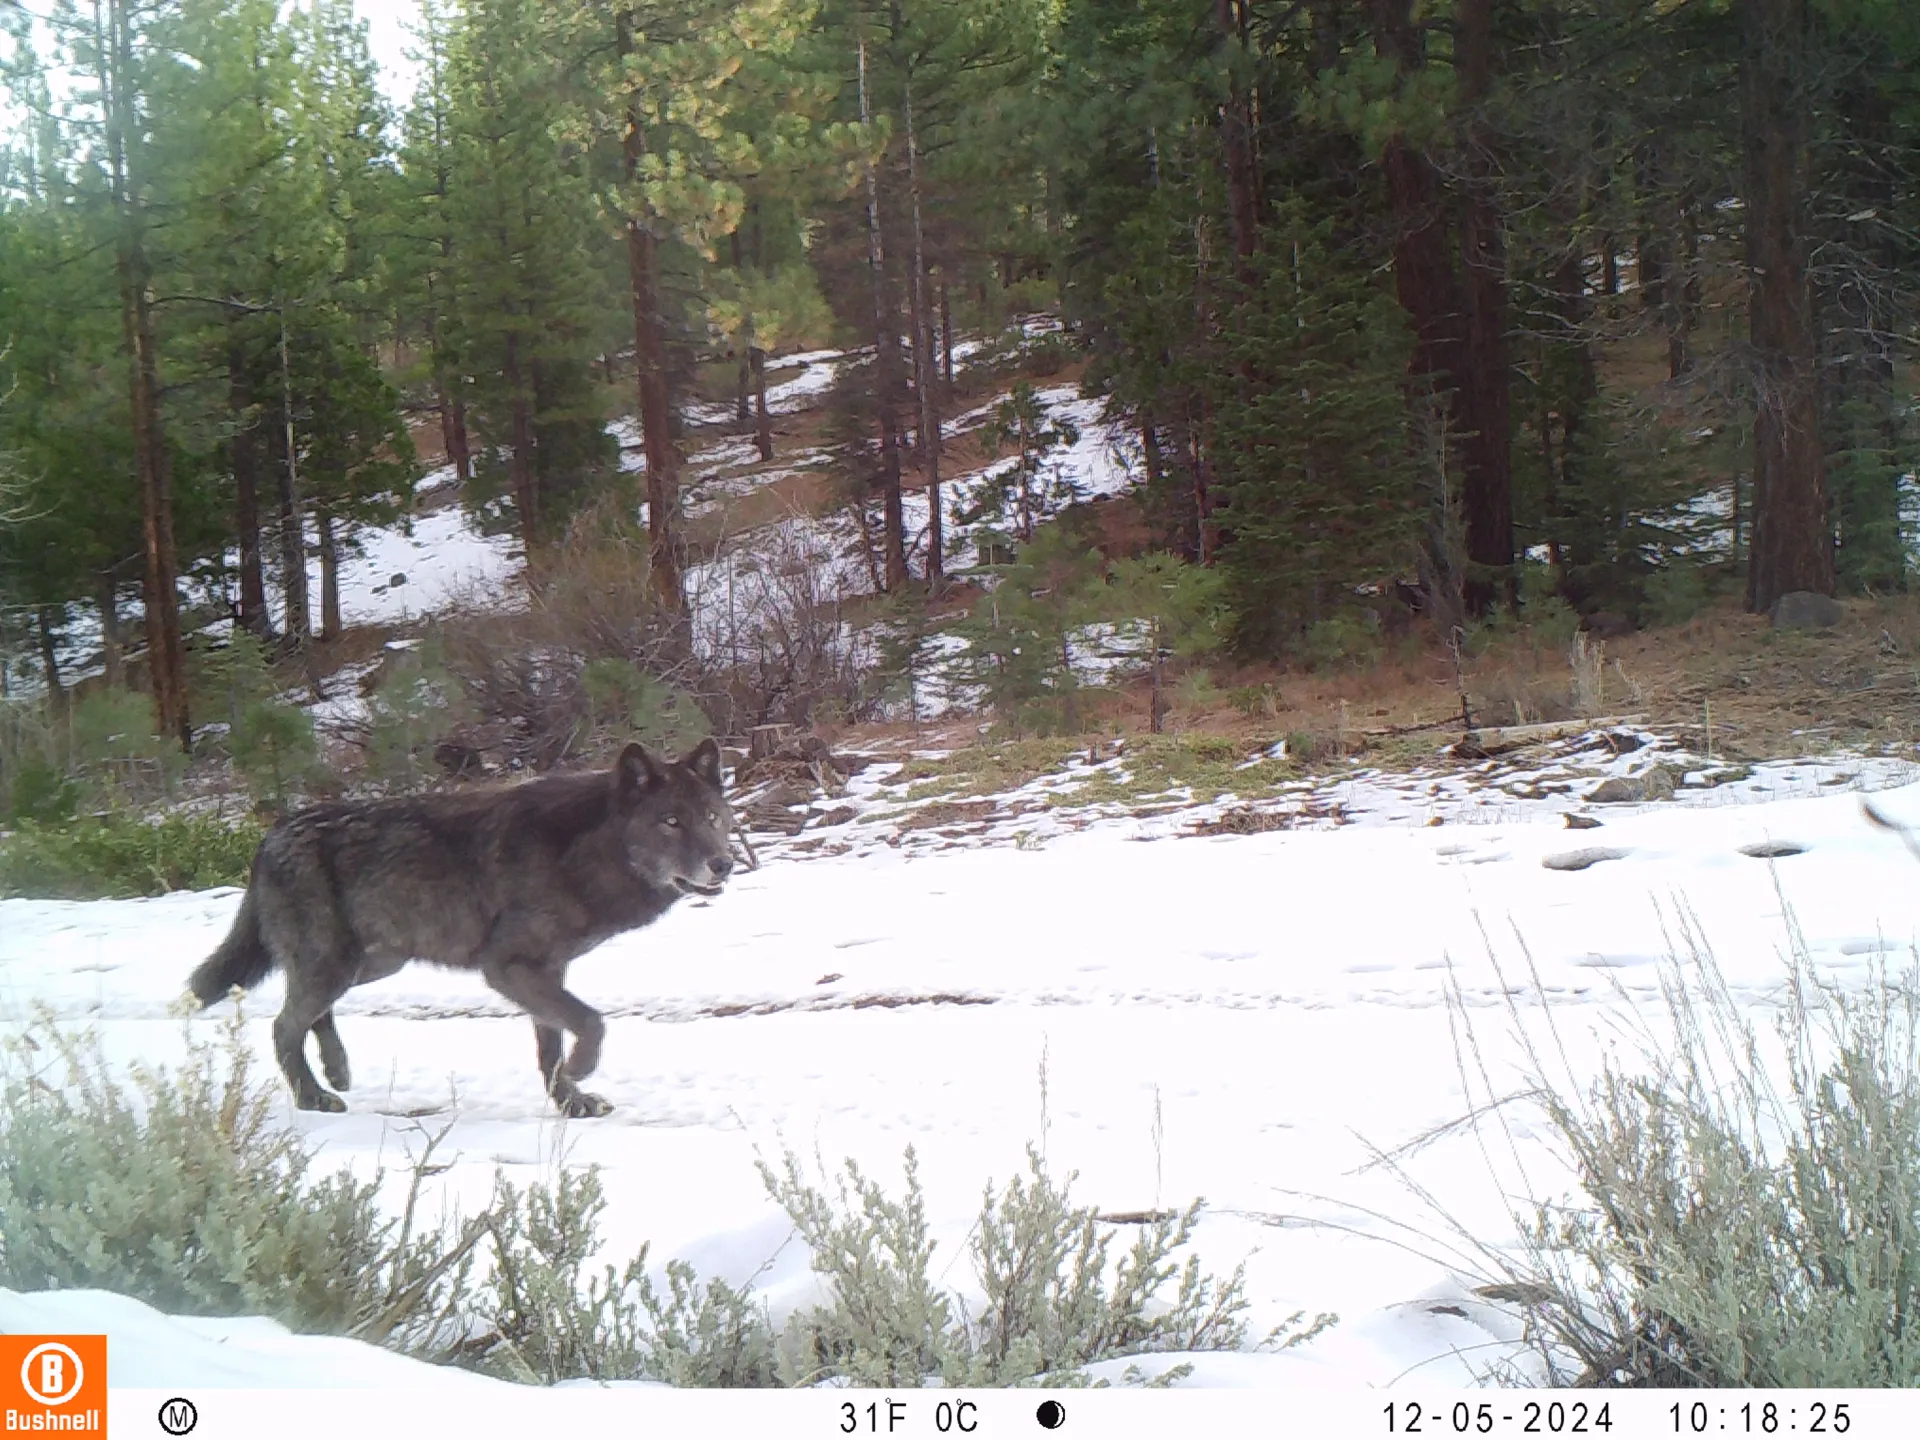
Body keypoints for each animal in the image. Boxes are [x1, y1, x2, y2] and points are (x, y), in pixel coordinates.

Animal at [187, 739, 735, 1118]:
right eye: (670, 821)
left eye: (712, 817)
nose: (724, 864)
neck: (581, 856)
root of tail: (270, 835)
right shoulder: (508, 968)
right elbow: (591, 1022)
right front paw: (579, 1072)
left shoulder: (545, 971)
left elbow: (553, 1042)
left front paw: (570, 1103)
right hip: (337, 965)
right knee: (284, 1026)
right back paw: (314, 1098)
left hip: (374, 963)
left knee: (309, 1015)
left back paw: (337, 1070)